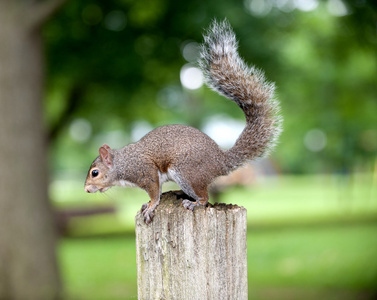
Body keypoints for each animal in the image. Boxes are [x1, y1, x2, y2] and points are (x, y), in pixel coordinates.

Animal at [83, 19, 280, 224]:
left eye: (95, 173)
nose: (86, 189)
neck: (122, 164)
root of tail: (221, 161)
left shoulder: (145, 172)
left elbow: (154, 192)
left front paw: (151, 206)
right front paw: (148, 204)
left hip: (187, 172)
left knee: (205, 196)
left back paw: (194, 203)